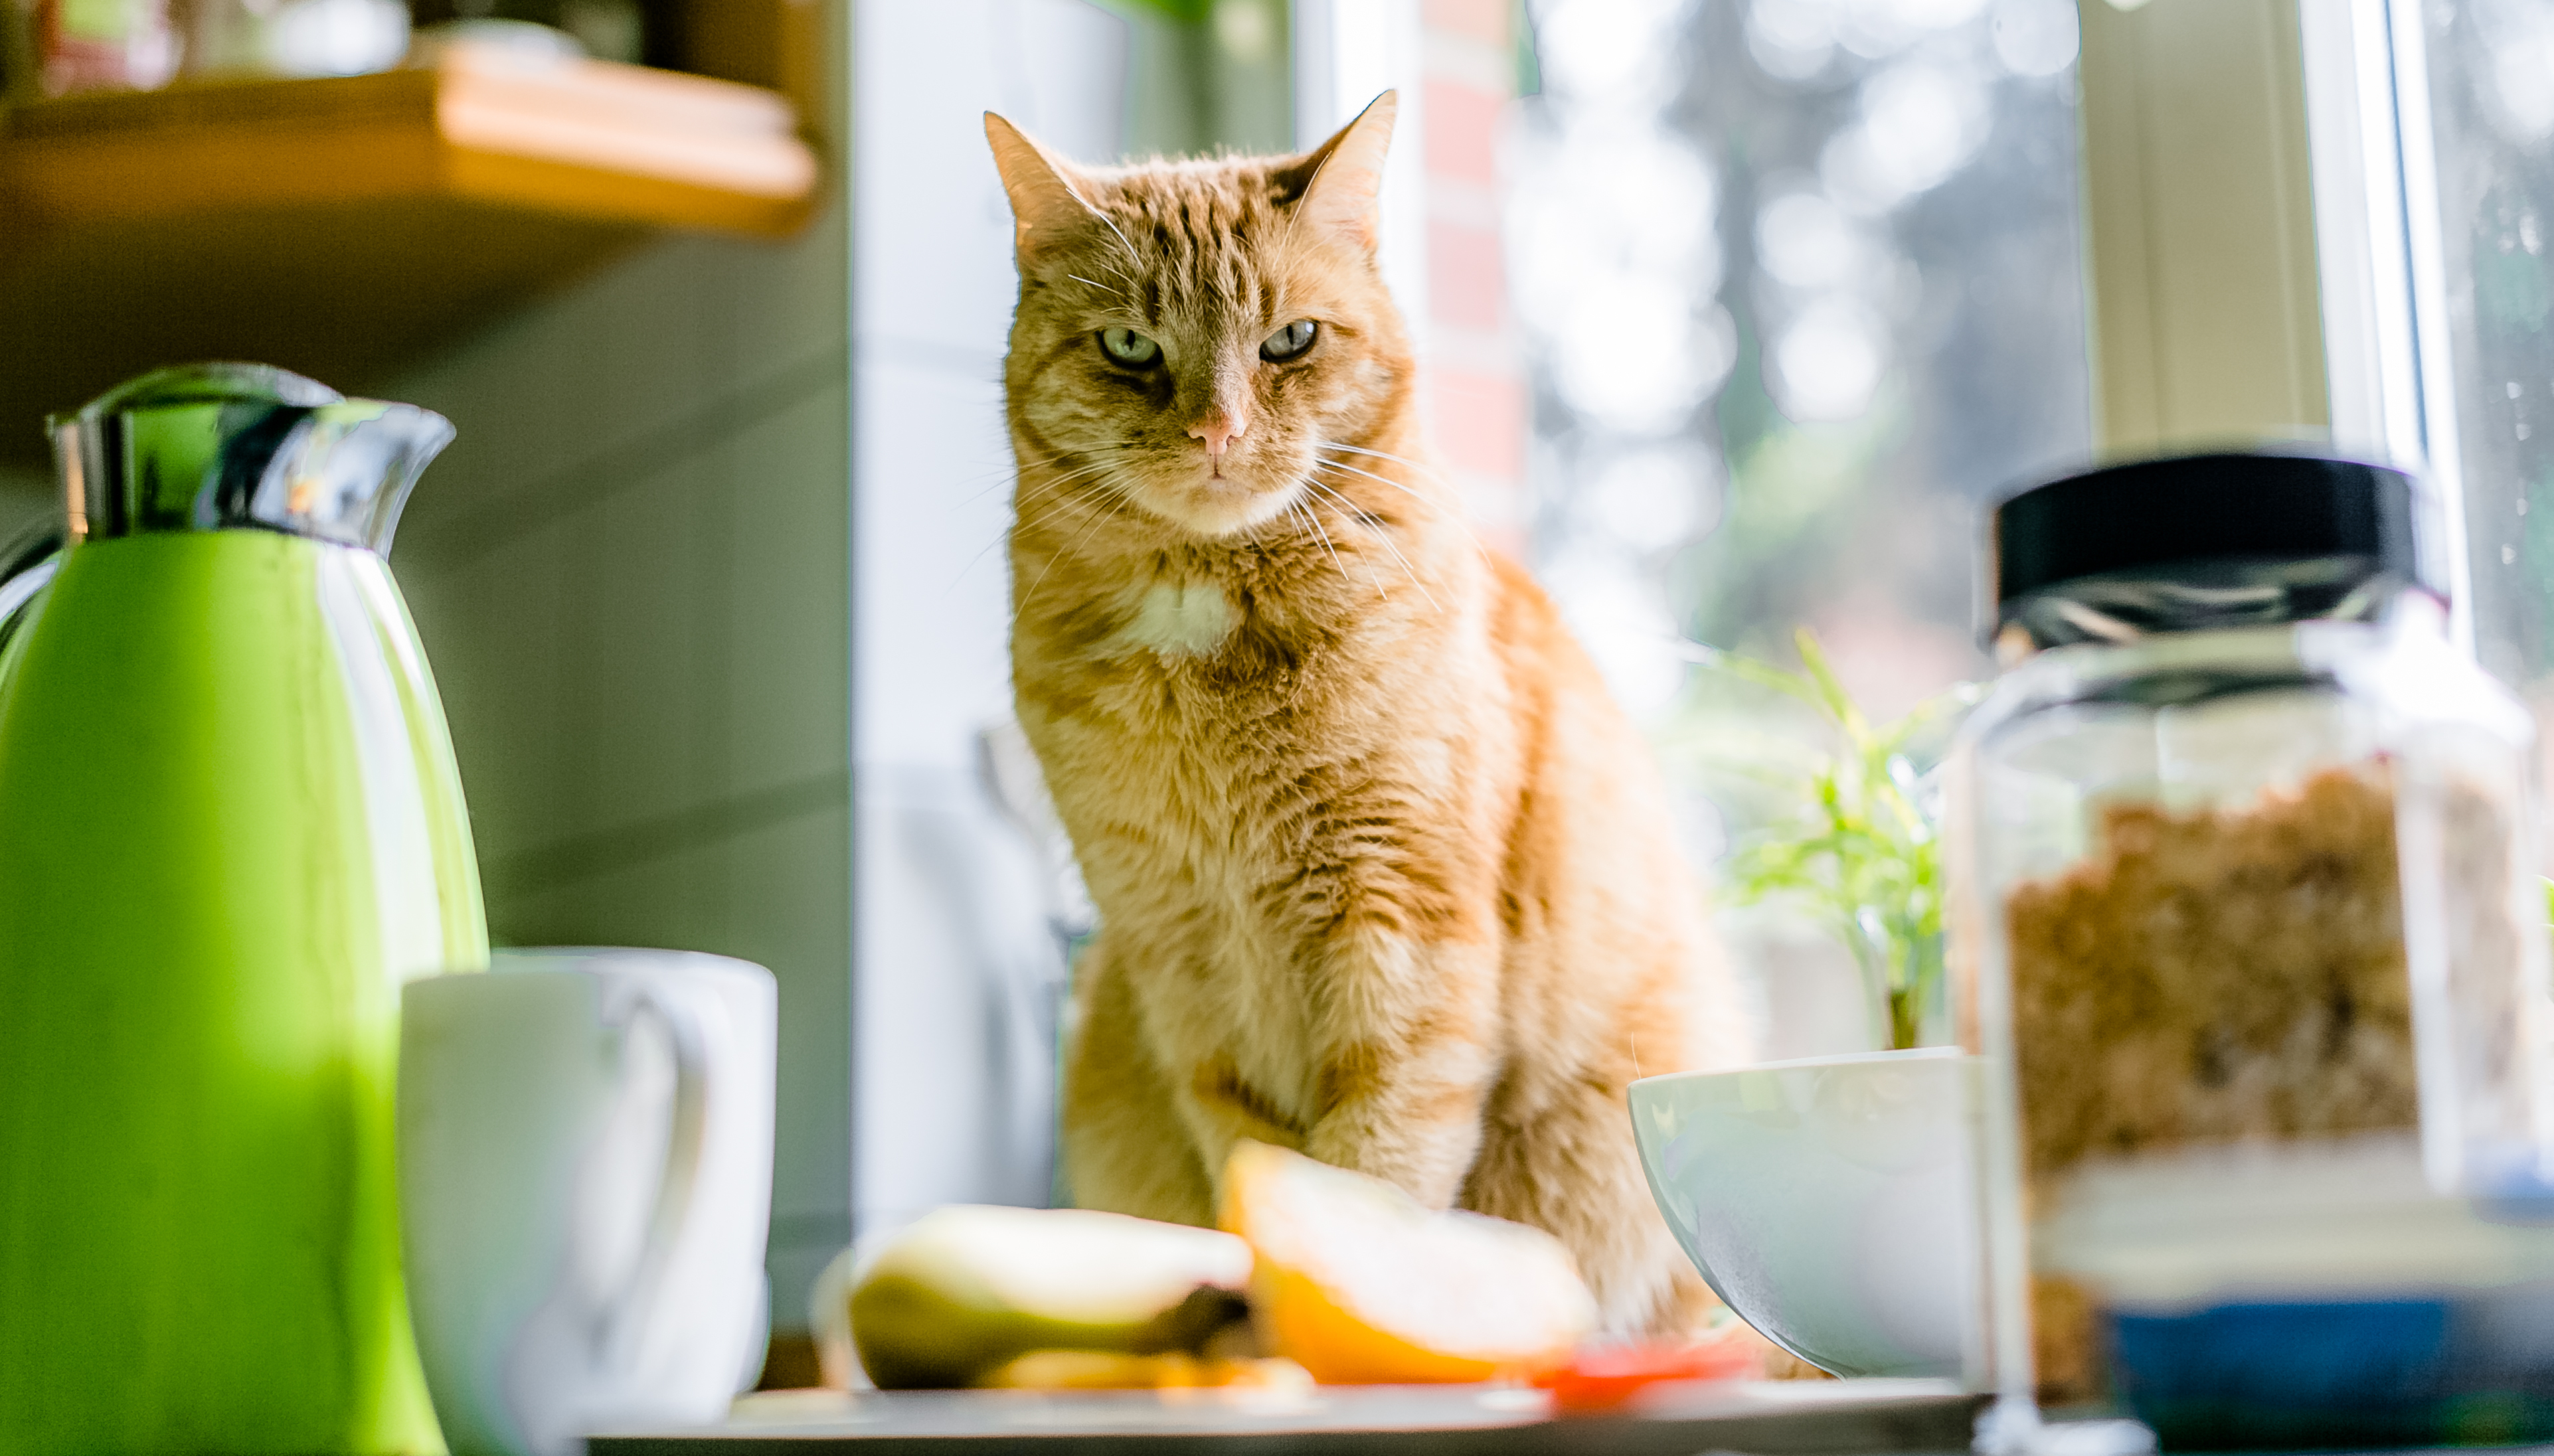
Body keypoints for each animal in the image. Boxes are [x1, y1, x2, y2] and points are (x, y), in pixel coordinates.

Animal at [985, 96, 1746, 1328]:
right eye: (1131, 349)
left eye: (1290, 340)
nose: (1217, 432)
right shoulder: (1177, 963)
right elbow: (1252, 1160)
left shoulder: (1403, 924)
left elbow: (1373, 1167)